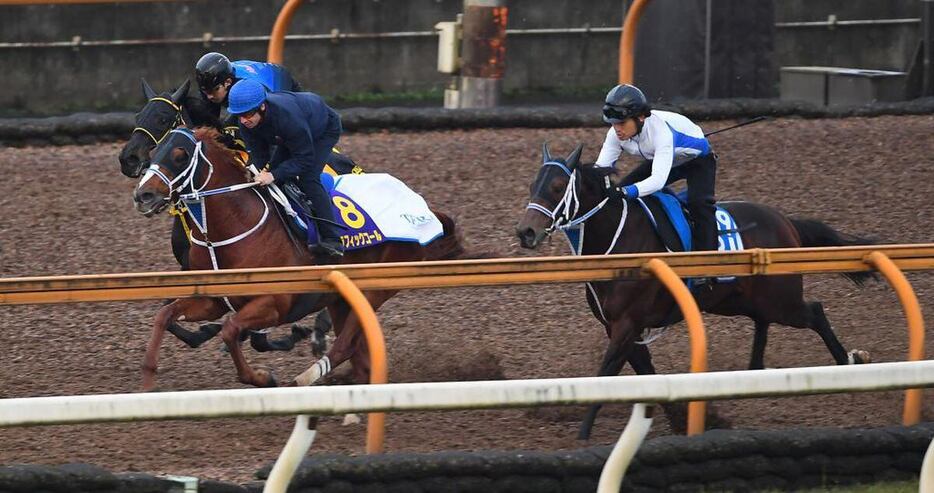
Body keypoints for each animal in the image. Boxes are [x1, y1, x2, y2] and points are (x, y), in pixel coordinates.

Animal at [133, 127, 464, 388]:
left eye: (180, 155)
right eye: (154, 151)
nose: (143, 195)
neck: (229, 230)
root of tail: (426, 210)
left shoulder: (273, 303)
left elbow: (229, 331)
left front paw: (262, 377)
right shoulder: (213, 300)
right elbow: (165, 314)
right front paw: (147, 378)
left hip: (375, 288)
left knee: (344, 346)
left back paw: (307, 377)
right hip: (340, 298)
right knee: (358, 353)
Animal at [516, 143, 872, 438]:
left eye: (558, 187)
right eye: (532, 185)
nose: (526, 232)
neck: (619, 243)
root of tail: (785, 221)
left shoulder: (627, 324)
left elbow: (605, 376)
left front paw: (584, 434)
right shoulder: (619, 326)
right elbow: (645, 374)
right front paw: (679, 419)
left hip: (782, 300)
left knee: (815, 311)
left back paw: (847, 362)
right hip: (739, 300)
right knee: (763, 322)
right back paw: (754, 375)